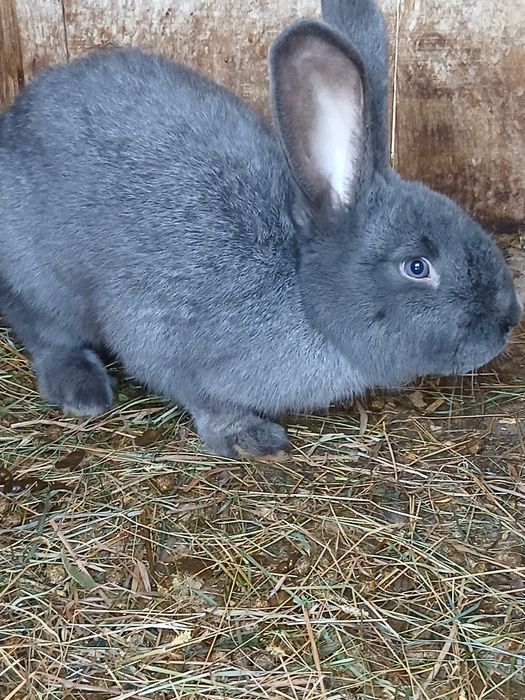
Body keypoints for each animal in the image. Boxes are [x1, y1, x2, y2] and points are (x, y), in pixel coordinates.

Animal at [0, 0, 521, 458]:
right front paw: (250, 438)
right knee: (43, 331)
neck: (304, 295)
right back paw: (82, 390)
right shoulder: (161, 341)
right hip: (45, 281)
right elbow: (201, 398)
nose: (509, 319)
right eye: (417, 266)